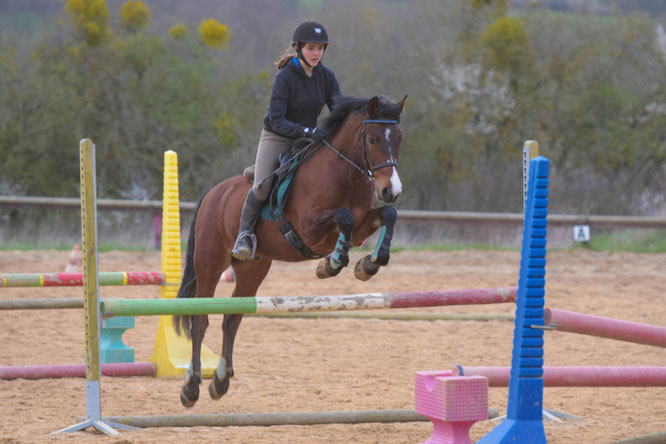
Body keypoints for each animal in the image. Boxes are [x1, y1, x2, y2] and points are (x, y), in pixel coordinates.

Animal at [171, 95, 404, 408]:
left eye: (399, 138)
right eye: (373, 138)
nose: (392, 190)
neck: (345, 175)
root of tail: (212, 194)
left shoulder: (361, 226)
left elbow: (387, 215)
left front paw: (368, 264)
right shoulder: (310, 228)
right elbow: (343, 217)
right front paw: (331, 264)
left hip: (253, 269)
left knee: (232, 319)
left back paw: (220, 381)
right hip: (210, 264)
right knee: (200, 320)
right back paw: (191, 386)